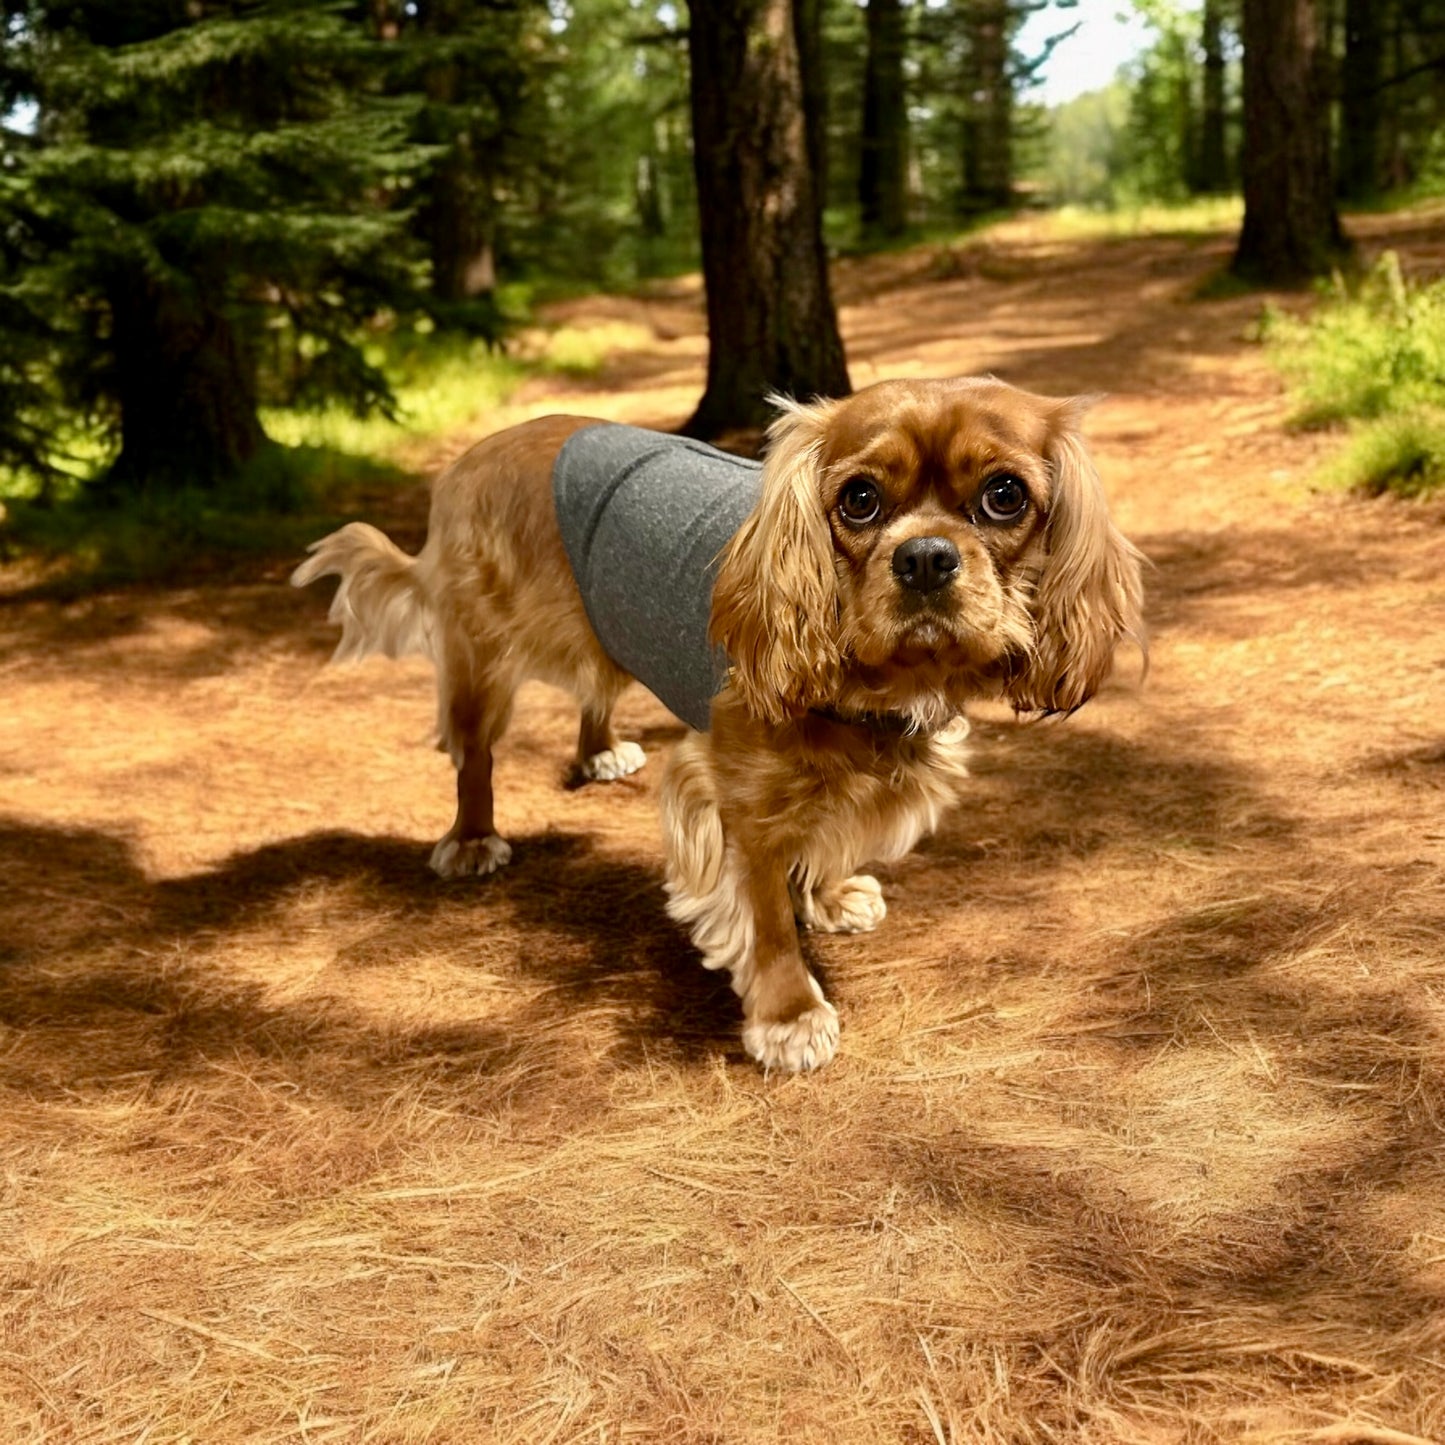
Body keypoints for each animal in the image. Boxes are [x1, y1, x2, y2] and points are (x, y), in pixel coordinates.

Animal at [293, 378, 1144, 1069]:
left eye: (1005, 494)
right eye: (859, 499)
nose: (926, 557)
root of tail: (470, 456)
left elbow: (828, 838)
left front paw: (830, 896)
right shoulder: (736, 798)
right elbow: (765, 916)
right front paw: (788, 1015)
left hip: (607, 621)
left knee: (593, 687)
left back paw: (599, 751)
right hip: (482, 655)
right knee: (473, 753)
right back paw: (471, 839)